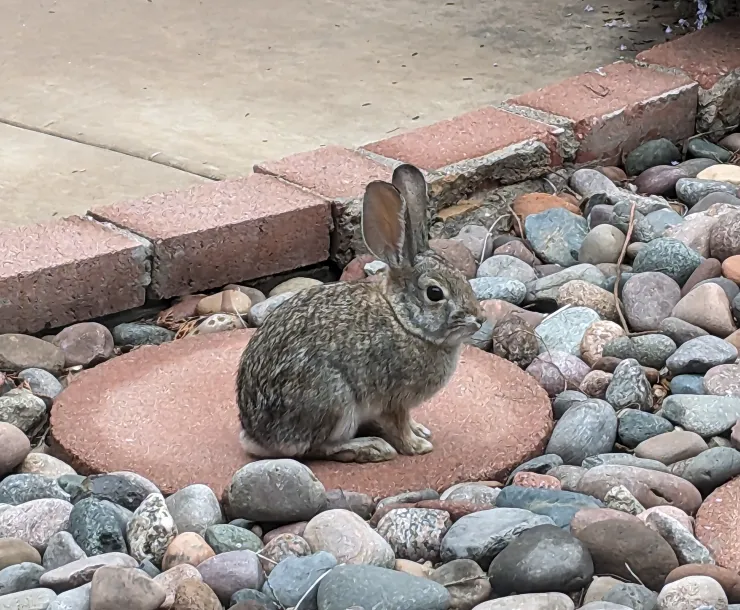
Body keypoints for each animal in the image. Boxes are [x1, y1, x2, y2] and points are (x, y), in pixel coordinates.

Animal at [236, 163, 485, 463]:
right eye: (435, 293)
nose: (479, 319)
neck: (404, 321)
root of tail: (256, 437)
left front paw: (420, 430)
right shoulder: (395, 399)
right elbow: (400, 425)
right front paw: (417, 446)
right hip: (335, 402)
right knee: (317, 448)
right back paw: (371, 448)